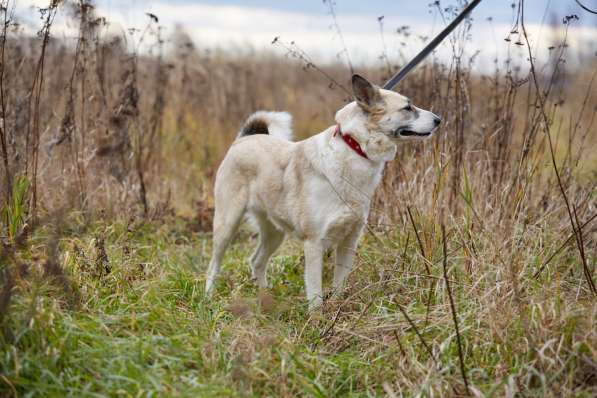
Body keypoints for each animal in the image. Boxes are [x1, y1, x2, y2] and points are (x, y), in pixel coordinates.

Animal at [204, 75, 438, 310]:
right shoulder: (314, 243)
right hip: (227, 225)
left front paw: (337, 309)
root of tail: (245, 138)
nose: (439, 119)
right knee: (213, 265)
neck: (354, 147)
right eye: (407, 107)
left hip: (274, 232)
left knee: (257, 262)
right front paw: (317, 318)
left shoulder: (349, 241)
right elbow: (315, 294)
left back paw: (266, 300)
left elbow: (339, 284)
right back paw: (209, 297)